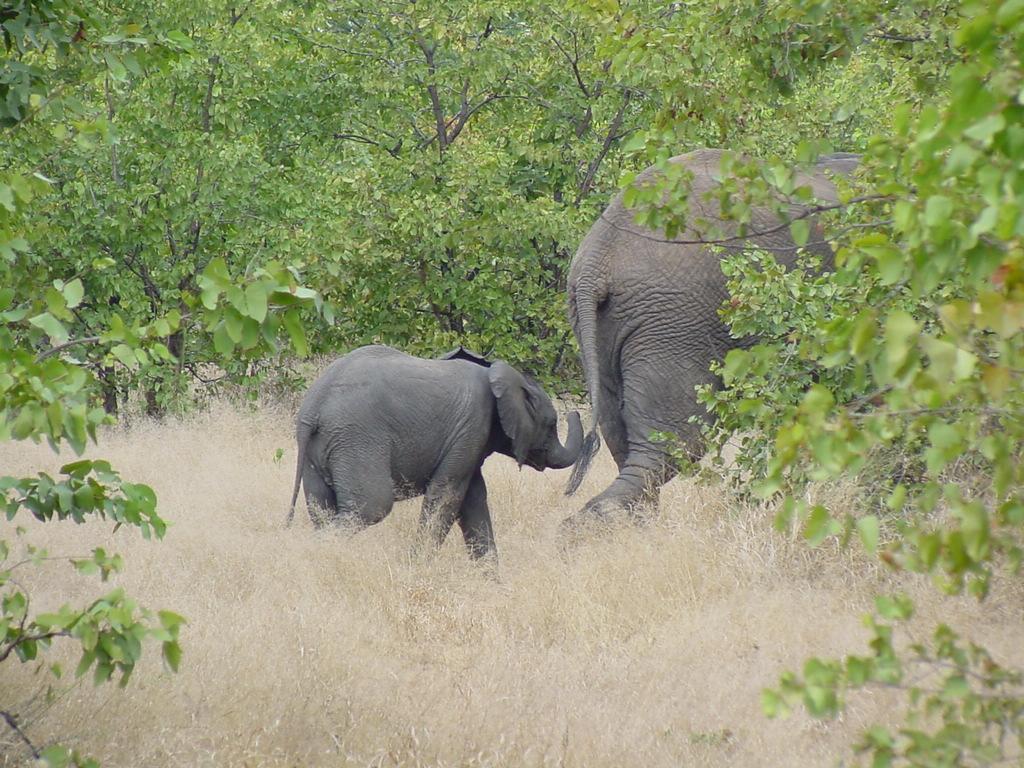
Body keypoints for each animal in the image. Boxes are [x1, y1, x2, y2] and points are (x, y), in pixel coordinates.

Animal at [284, 346, 585, 561]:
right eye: (551, 424)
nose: (575, 411)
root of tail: (313, 408)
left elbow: (473, 501)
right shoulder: (472, 425)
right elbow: (447, 497)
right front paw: (416, 570)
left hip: (320, 450)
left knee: (322, 510)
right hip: (356, 439)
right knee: (372, 506)